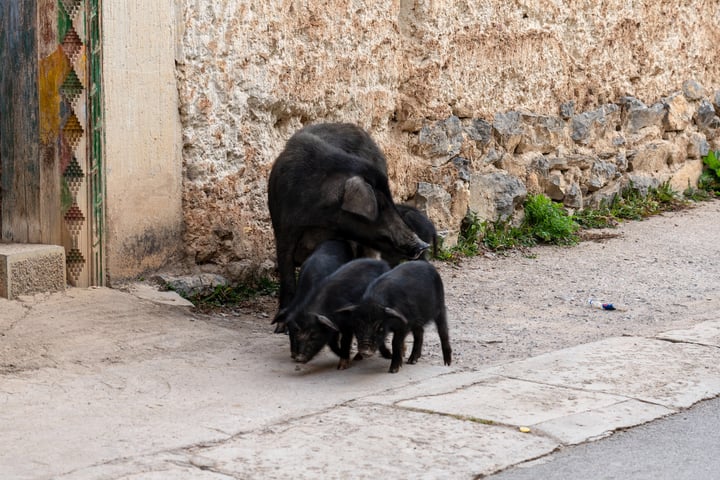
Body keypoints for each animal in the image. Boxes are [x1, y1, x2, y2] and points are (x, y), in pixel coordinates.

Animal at [267, 123, 430, 314]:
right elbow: (287, 272)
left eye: (390, 199)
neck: (319, 217)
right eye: (381, 205)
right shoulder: (283, 227)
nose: (423, 245)